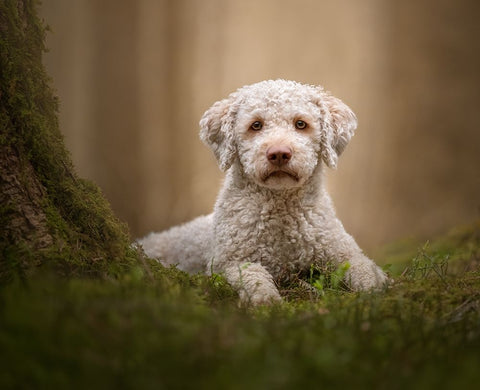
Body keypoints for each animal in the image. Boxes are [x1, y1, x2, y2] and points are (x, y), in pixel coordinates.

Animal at [138, 79, 386, 304]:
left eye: (301, 124)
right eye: (256, 125)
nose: (279, 153)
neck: (281, 209)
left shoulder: (342, 250)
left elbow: (363, 266)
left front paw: (374, 287)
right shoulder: (229, 262)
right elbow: (253, 276)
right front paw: (266, 299)